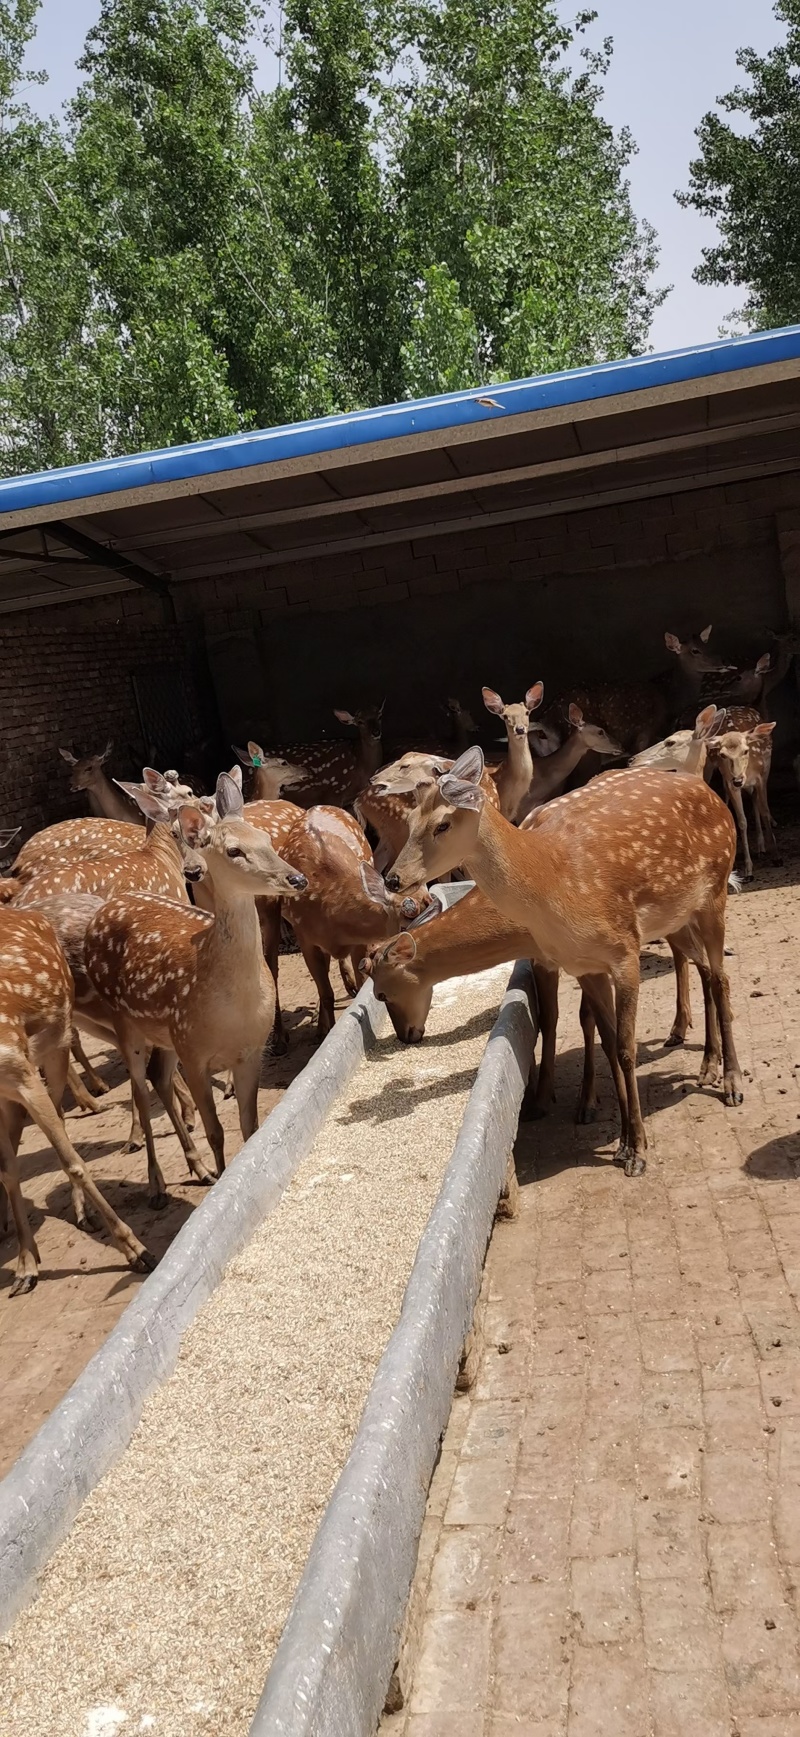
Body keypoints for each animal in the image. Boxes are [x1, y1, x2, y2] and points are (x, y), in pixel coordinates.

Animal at [0, 910, 154, 1292]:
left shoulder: (22, 1070)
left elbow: (73, 1162)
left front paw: (138, 1251)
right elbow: (8, 1171)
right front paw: (25, 1267)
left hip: (57, 1043)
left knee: (61, 1121)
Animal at [81, 771, 305, 1188]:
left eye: (267, 839)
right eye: (234, 851)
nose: (296, 878)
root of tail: (105, 909)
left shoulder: (250, 1051)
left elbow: (250, 1128)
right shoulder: (194, 1051)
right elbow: (215, 1129)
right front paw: (221, 1173)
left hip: (165, 1032)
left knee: (158, 1077)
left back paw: (196, 1167)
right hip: (126, 1022)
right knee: (140, 1089)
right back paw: (156, 1181)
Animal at [386, 739, 742, 1174]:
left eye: (442, 824)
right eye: (409, 819)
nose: (393, 879)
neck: (557, 885)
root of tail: (712, 793)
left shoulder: (624, 952)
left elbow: (625, 1048)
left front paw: (638, 1151)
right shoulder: (584, 964)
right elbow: (605, 1039)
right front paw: (621, 1141)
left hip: (716, 892)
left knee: (721, 978)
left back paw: (731, 1082)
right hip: (680, 914)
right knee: (705, 969)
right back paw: (706, 1066)